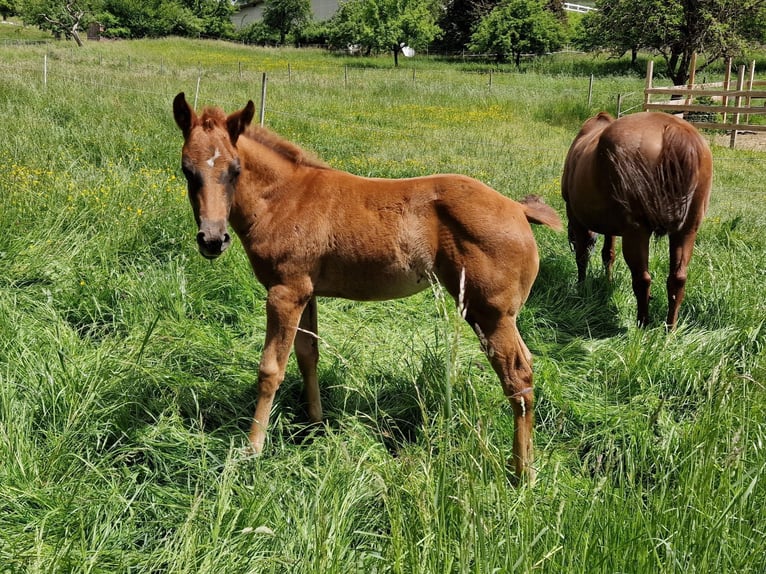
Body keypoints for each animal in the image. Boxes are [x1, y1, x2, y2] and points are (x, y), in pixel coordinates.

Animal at [172, 92, 562, 482]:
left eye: (235, 170)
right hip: (499, 315)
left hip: (490, 312)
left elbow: (271, 369)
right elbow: (308, 355)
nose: (212, 240)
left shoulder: (284, 292)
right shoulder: (306, 292)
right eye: (187, 170)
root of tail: (517, 208)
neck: (283, 199)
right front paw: (316, 425)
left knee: (518, 377)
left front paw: (252, 449)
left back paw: (522, 474)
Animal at [561, 111, 713, 328]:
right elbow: (608, 254)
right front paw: (607, 282)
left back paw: (643, 325)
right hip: (687, 231)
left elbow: (582, 257)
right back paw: (670, 329)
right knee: (677, 279)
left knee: (642, 279)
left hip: (637, 232)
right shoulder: (612, 227)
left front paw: (581, 288)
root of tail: (672, 128)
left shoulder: (575, 217)